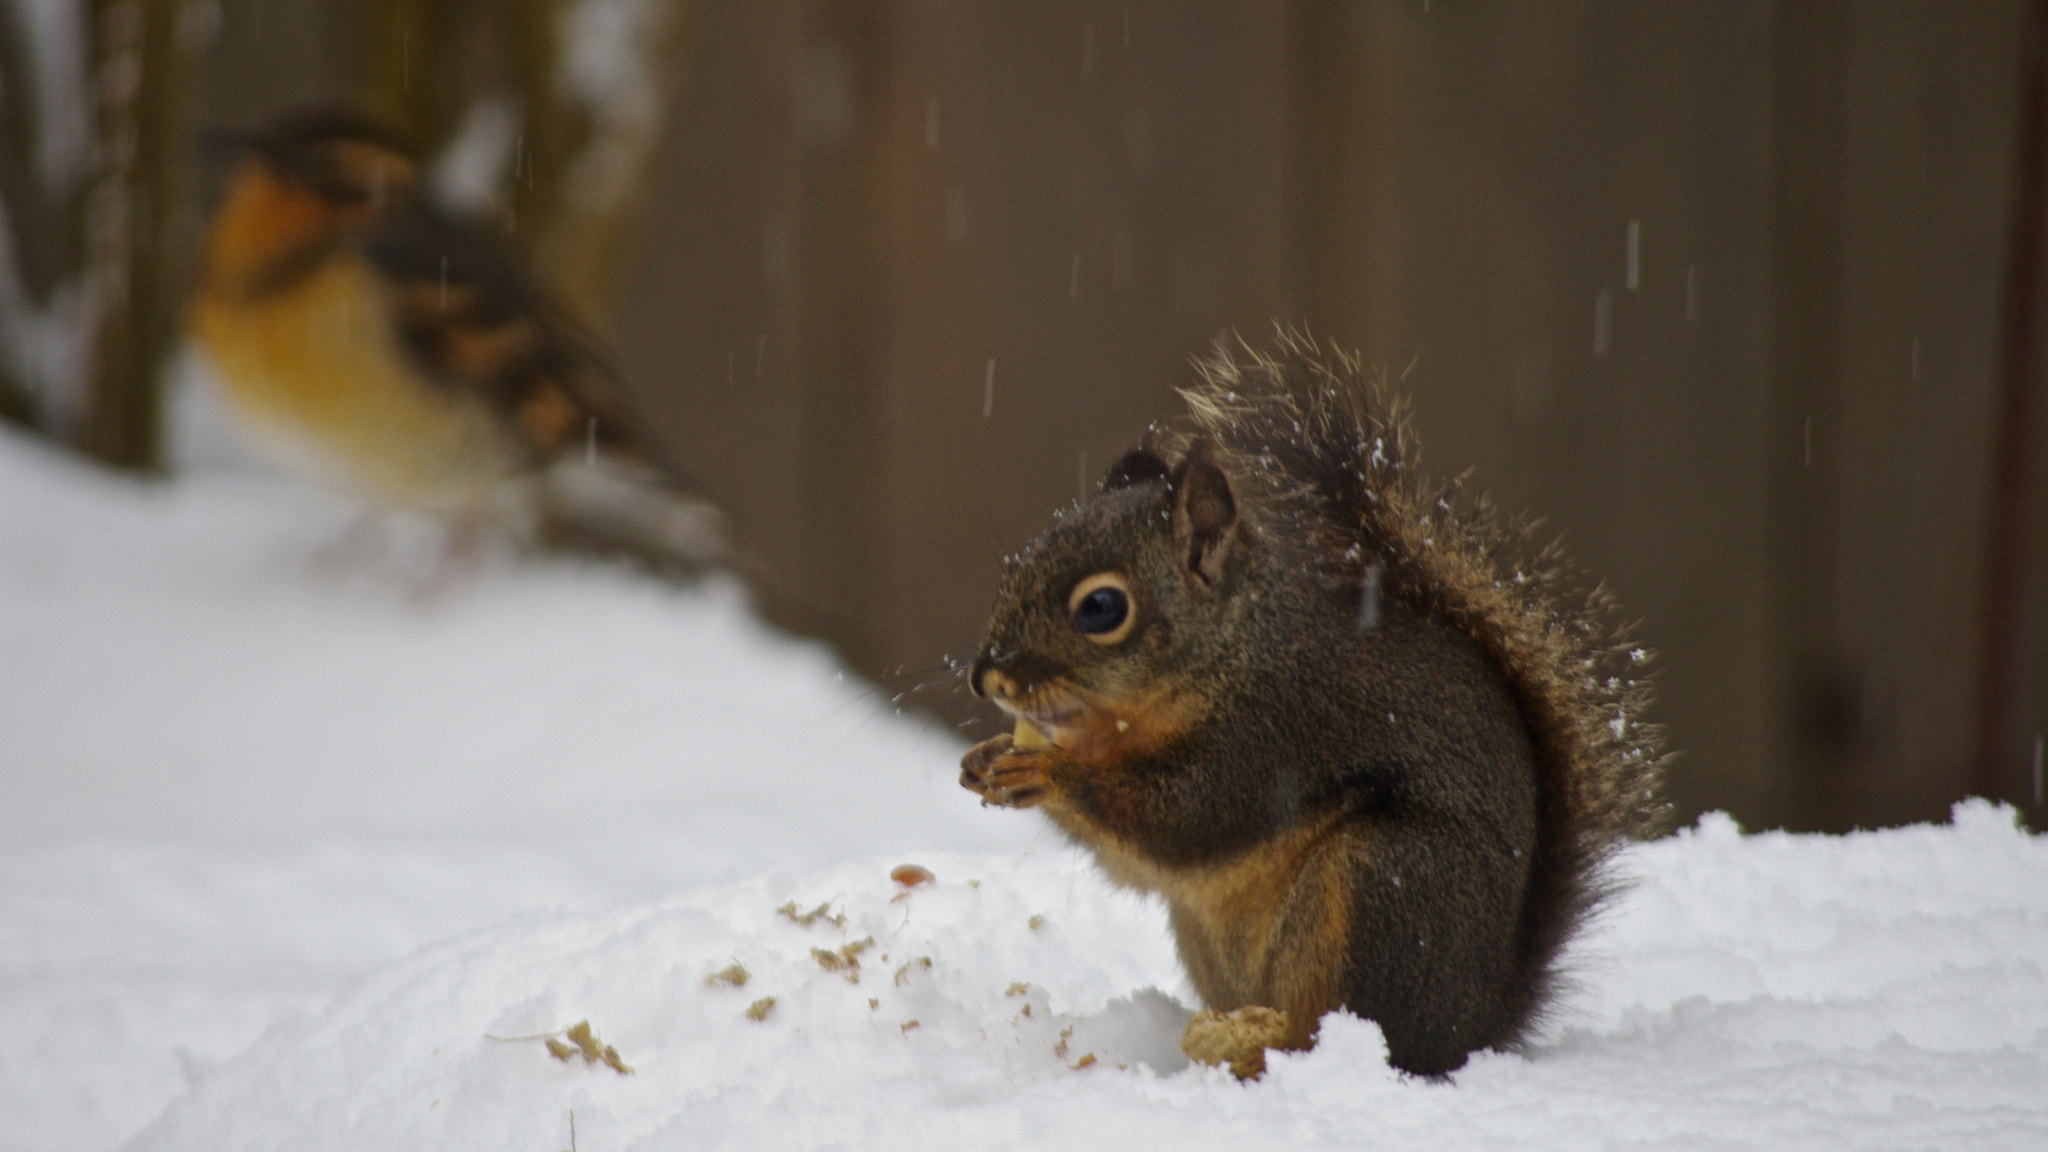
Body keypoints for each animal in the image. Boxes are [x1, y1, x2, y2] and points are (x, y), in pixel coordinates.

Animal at [958, 327, 1662, 1074]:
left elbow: (1181, 816)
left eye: (1100, 608)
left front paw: (1048, 771)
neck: (1234, 649)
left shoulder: (1275, 733)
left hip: (1380, 886)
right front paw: (987, 757)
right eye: (1016, 565)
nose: (986, 678)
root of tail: (1476, 1024)